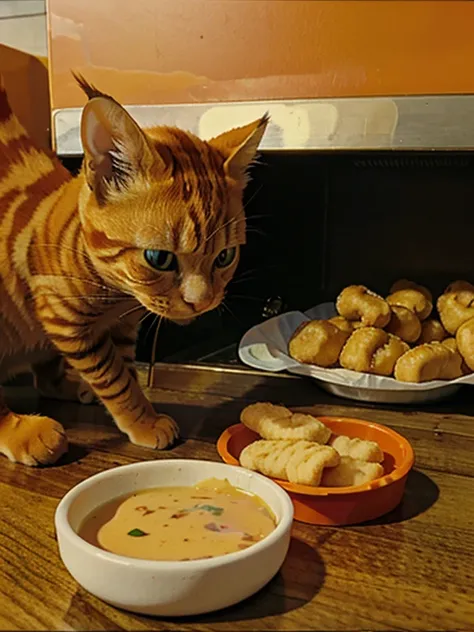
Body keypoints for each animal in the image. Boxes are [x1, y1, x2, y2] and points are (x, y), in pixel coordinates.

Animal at [0, 76, 268, 466]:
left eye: (224, 257)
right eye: (159, 258)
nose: (201, 301)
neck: (118, 296)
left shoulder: (123, 328)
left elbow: (126, 370)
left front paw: (138, 413)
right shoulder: (67, 323)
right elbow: (115, 378)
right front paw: (144, 420)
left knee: (45, 378)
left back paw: (74, 387)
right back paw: (25, 430)